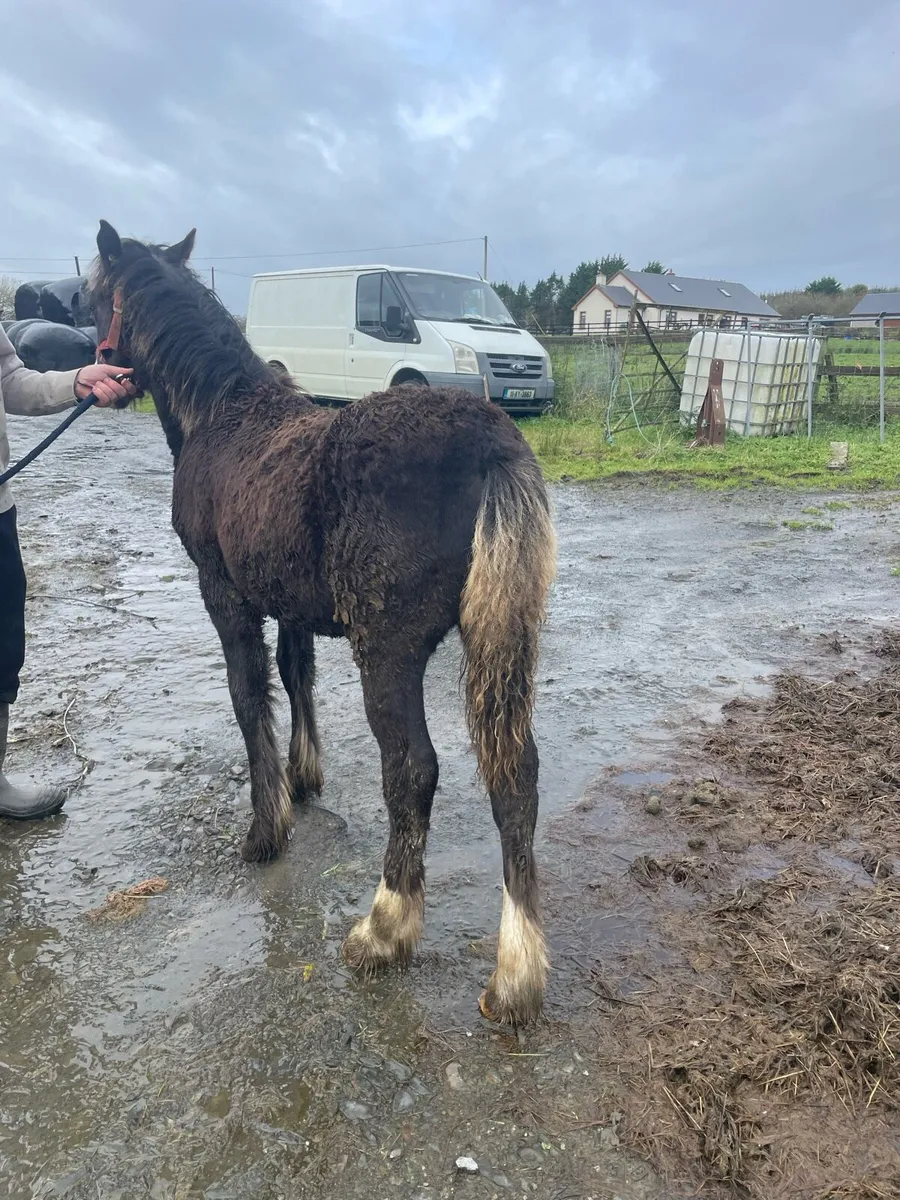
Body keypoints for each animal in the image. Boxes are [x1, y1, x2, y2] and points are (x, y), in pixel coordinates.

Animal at [88, 220, 556, 1027]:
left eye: (89, 295)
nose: (95, 374)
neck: (224, 415)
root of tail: (493, 443)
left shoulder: (226, 597)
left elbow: (250, 700)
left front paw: (264, 831)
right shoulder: (288, 603)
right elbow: (294, 673)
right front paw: (304, 779)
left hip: (389, 652)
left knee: (413, 770)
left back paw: (384, 929)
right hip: (495, 646)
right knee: (515, 775)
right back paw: (516, 975)